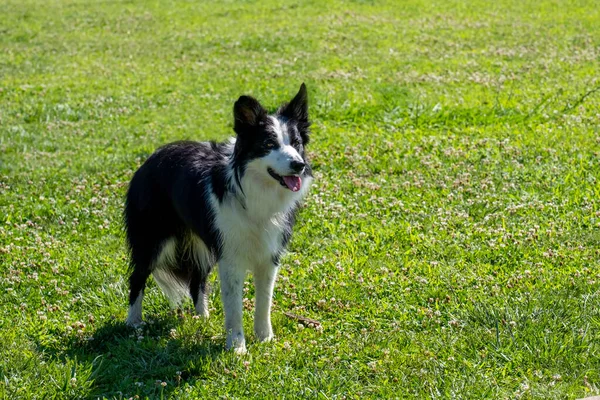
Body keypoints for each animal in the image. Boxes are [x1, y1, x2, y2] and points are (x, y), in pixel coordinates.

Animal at [122, 84, 314, 354]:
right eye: (268, 143)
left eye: (296, 143)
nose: (298, 164)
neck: (256, 191)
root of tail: (151, 158)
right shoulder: (230, 256)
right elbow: (234, 308)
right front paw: (237, 347)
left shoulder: (268, 255)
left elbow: (264, 301)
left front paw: (264, 338)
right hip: (153, 240)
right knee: (137, 277)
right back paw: (134, 323)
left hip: (202, 244)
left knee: (196, 281)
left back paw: (202, 318)